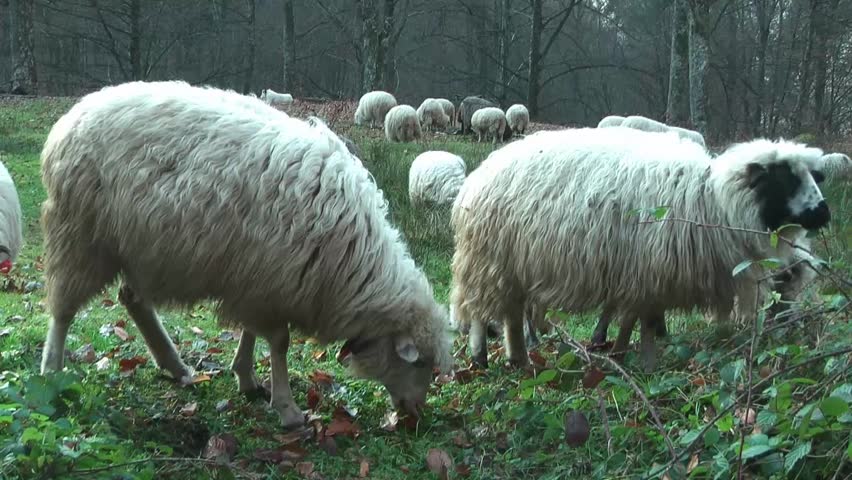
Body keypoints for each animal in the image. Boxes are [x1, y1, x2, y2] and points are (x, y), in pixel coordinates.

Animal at [38, 80, 453, 428]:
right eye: (421, 364)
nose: (416, 413)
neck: (352, 261)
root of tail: (71, 117)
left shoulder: (256, 280)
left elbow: (251, 332)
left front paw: (247, 377)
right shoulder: (269, 278)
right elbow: (280, 344)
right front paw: (287, 409)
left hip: (138, 249)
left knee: (132, 299)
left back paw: (174, 365)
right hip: (82, 235)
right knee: (63, 311)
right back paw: (52, 371)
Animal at [450, 127, 830, 371]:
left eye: (813, 175)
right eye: (784, 177)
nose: (824, 213)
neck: (713, 201)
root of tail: (478, 176)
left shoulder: (639, 273)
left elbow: (631, 317)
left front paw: (621, 348)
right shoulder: (645, 270)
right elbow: (638, 319)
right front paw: (639, 356)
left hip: (512, 264)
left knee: (511, 314)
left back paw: (517, 358)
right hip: (491, 260)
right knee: (485, 313)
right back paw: (485, 357)